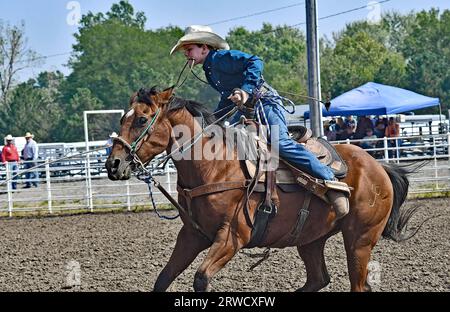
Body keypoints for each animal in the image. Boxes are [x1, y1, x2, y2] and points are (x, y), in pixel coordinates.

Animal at [106, 86, 418, 292]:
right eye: (122, 118)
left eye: (142, 119)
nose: (113, 164)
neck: (215, 165)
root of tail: (379, 167)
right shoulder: (192, 235)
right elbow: (163, 278)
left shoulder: (231, 237)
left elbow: (201, 278)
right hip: (311, 239)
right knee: (318, 279)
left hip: (360, 239)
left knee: (357, 284)